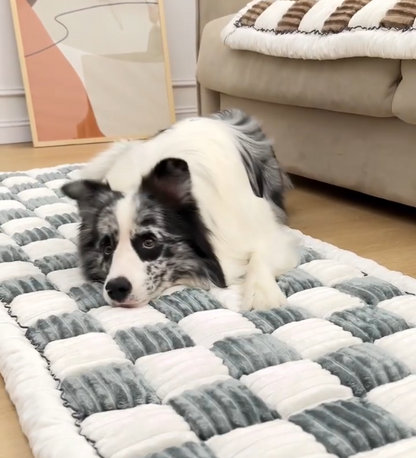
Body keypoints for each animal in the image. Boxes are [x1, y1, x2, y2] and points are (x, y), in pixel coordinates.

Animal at [61, 109, 300, 312]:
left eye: (149, 242)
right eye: (107, 248)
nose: (116, 289)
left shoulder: (263, 228)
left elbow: (261, 257)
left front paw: (262, 296)